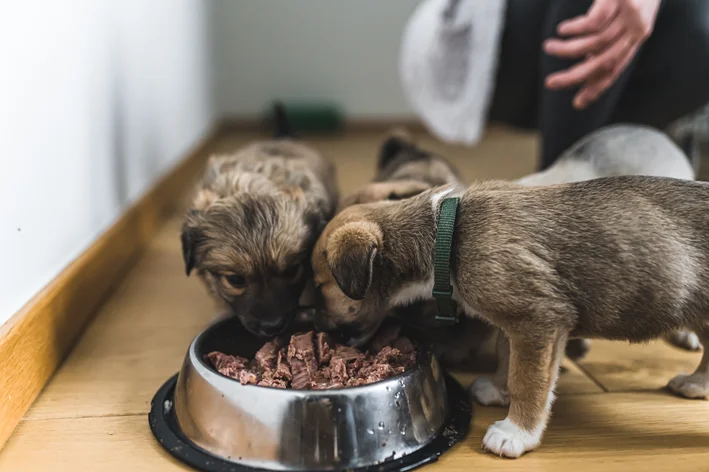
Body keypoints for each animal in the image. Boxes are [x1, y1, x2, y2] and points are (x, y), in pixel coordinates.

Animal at [312, 174, 708, 458]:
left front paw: (517, 432)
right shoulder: (513, 321)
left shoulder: (538, 321)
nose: (326, 338)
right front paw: (498, 390)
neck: (444, 233)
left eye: (317, 288)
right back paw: (697, 384)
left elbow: (528, 380)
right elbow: (507, 359)